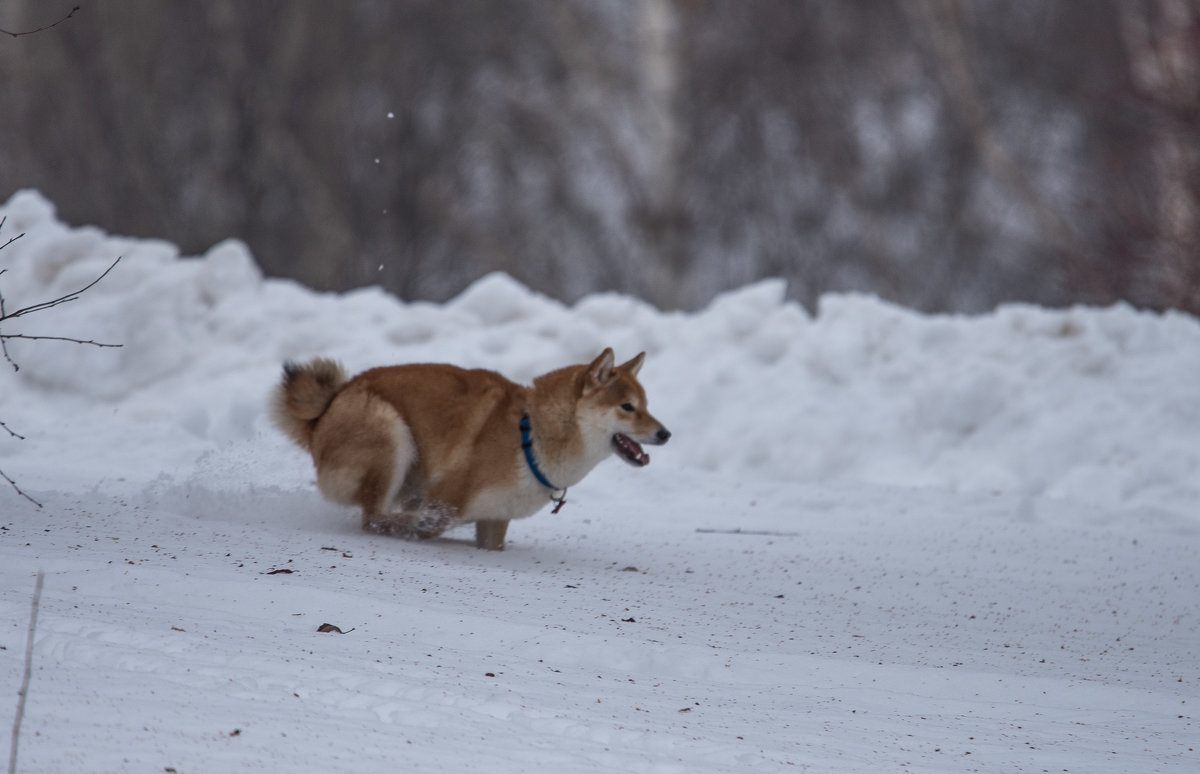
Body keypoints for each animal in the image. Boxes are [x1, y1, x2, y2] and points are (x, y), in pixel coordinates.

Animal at [267, 350, 672, 549]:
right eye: (627, 407)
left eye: (646, 405)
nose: (666, 433)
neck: (531, 438)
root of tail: (328, 408)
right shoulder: (445, 500)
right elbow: (428, 524)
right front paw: (414, 526)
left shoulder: (494, 521)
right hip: (392, 434)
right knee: (373, 518)